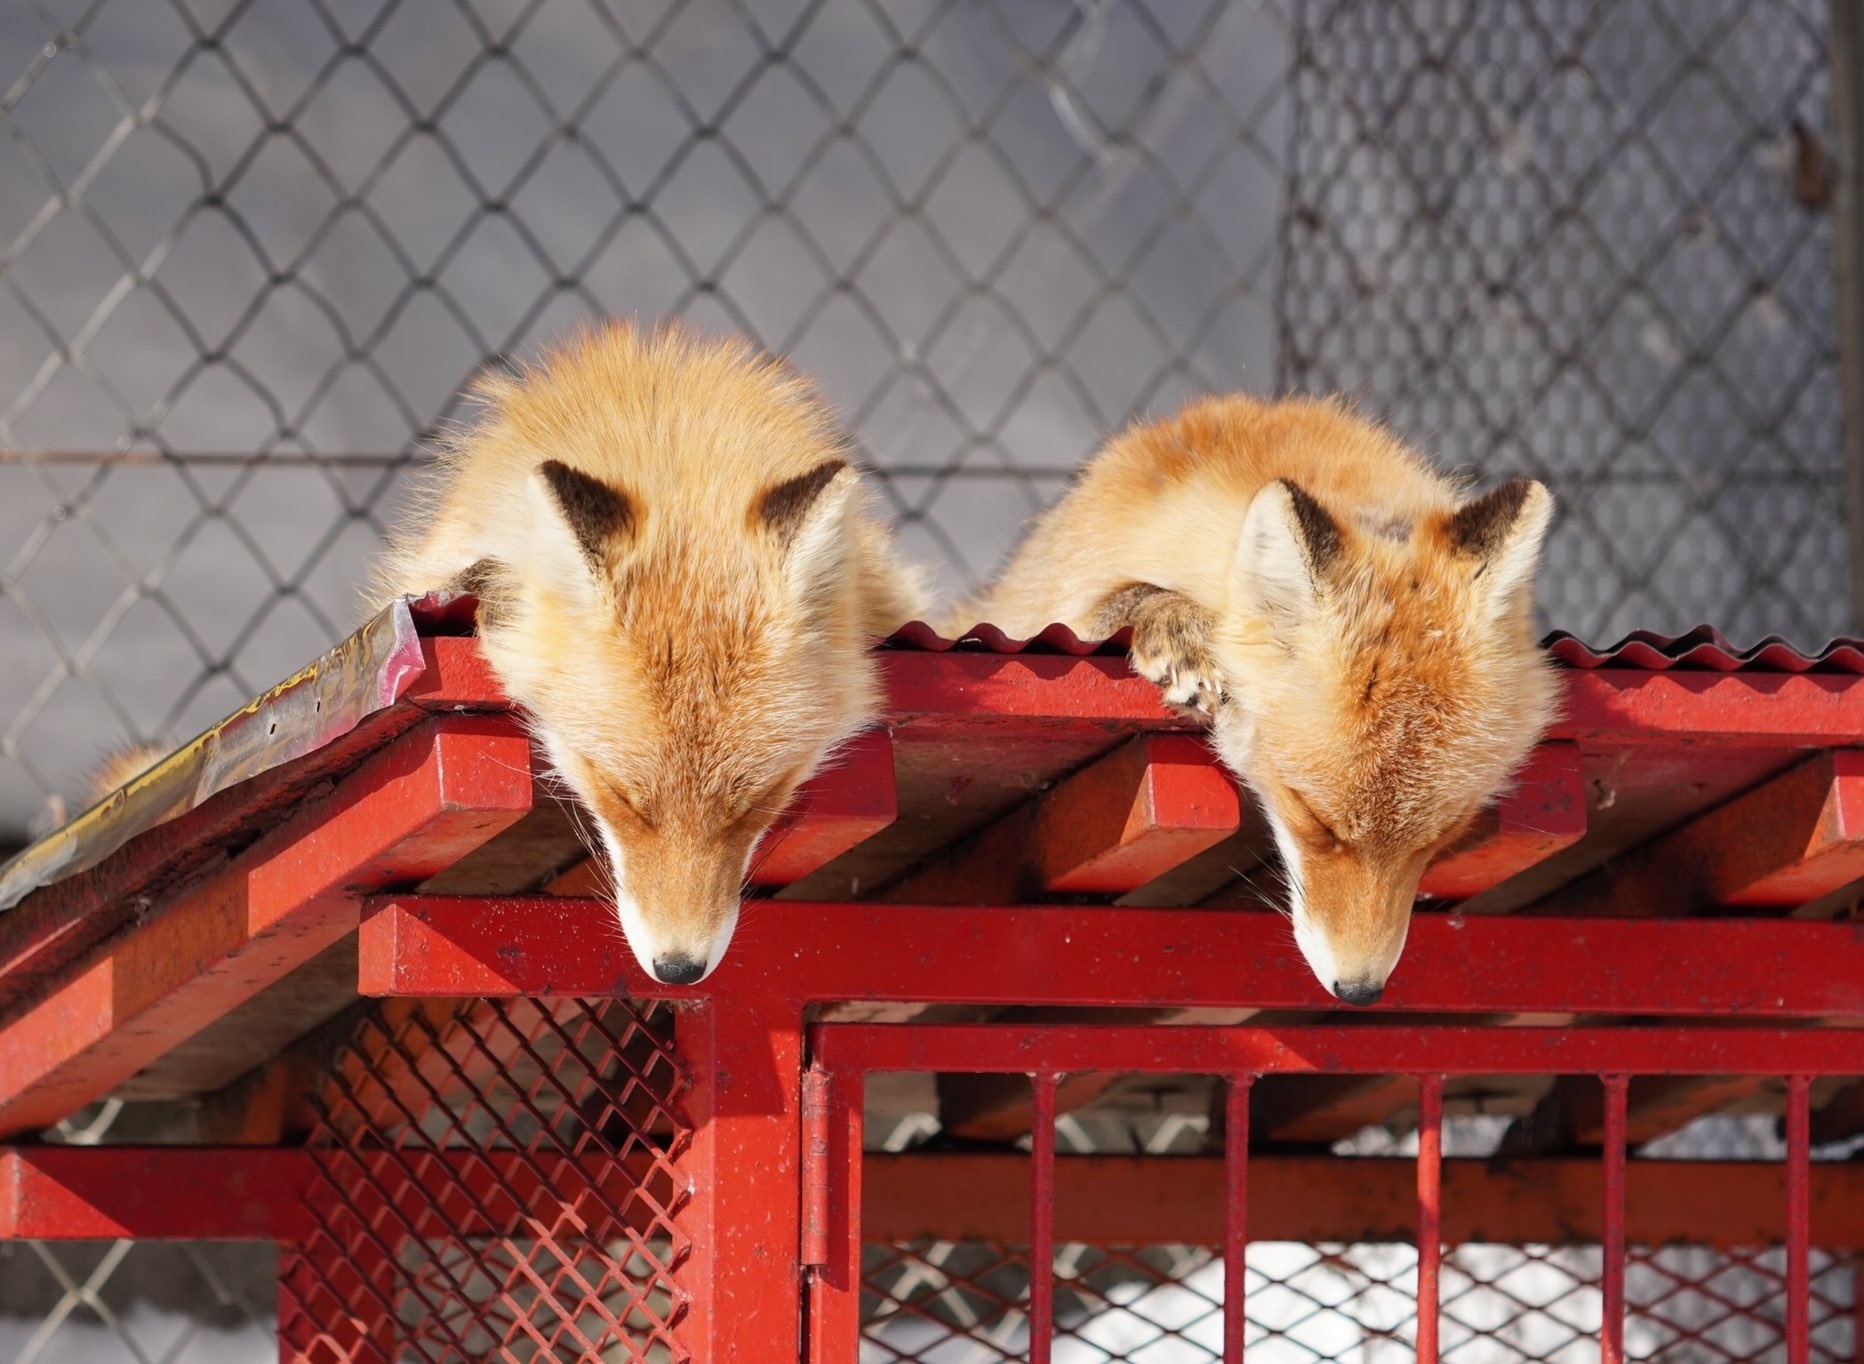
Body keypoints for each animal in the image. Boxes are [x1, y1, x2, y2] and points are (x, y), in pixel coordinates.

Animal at [961, 395, 1558, 998]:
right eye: (1313, 819)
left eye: (1440, 835)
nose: (1359, 992)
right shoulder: (1051, 607)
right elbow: (1118, 598)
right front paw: (1175, 625)